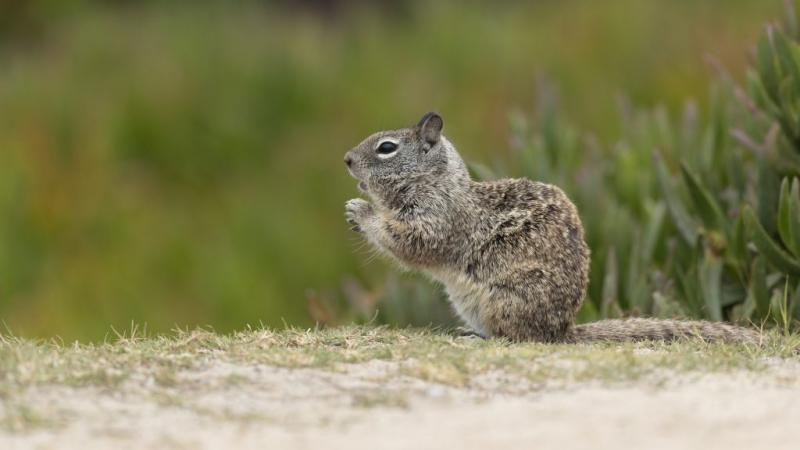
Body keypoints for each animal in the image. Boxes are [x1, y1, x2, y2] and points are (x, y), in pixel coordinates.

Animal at [340, 112, 760, 344]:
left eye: (386, 148)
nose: (345, 159)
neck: (435, 181)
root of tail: (560, 330)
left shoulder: (434, 219)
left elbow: (408, 242)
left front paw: (360, 211)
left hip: (503, 301)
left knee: (517, 338)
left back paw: (479, 337)